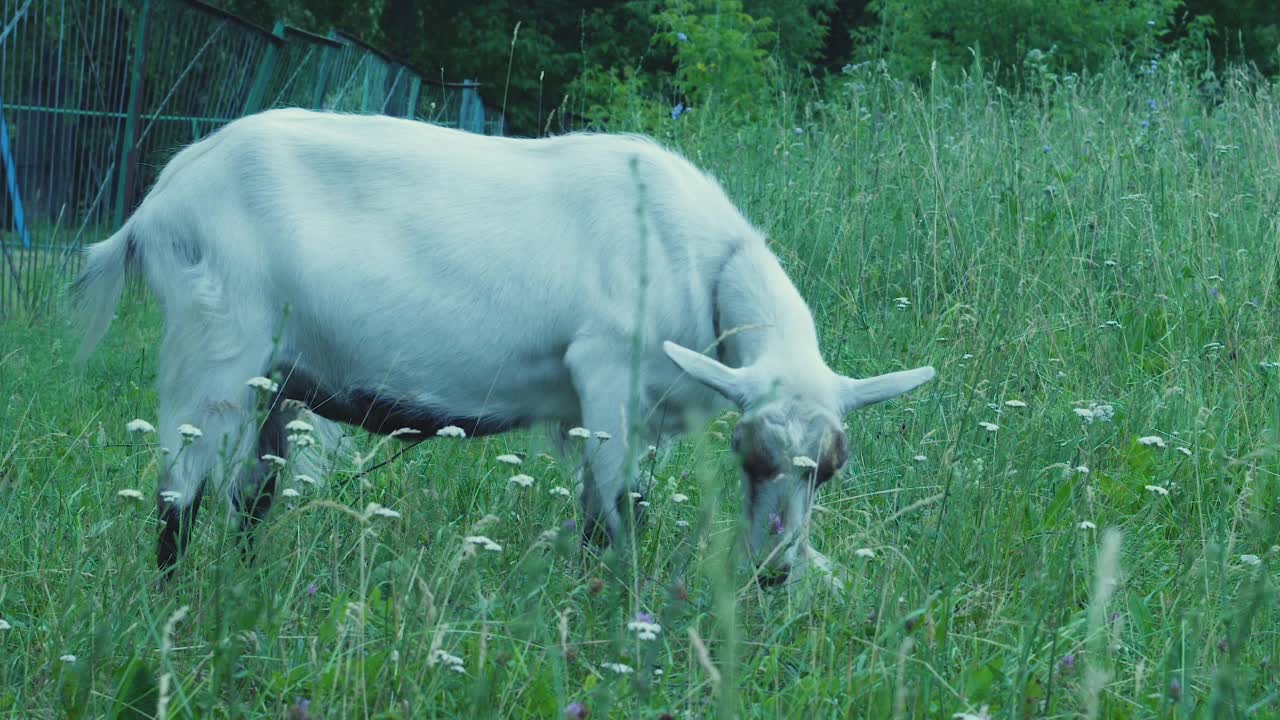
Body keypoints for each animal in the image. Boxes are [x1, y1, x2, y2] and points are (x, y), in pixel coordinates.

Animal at [74, 109, 936, 586]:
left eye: (829, 470)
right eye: (749, 457)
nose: (773, 574)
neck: (698, 254)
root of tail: (159, 201)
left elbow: (600, 511)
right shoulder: (605, 376)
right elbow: (618, 516)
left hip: (276, 380)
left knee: (251, 499)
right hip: (215, 343)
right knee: (178, 497)